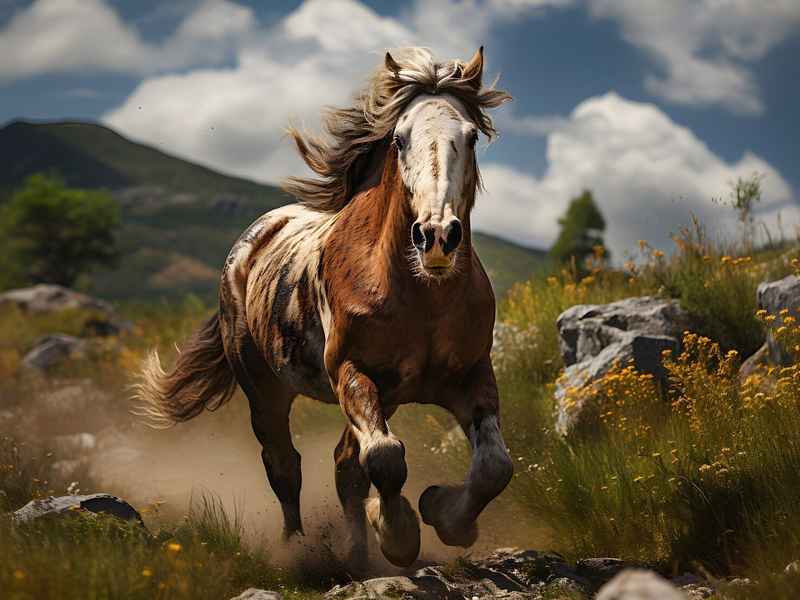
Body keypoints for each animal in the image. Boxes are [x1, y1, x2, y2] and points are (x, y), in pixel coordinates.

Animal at [135, 46, 514, 568]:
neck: (422, 296)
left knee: (343, 466)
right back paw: (298, 547)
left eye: (472, 136)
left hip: (382, 396)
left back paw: (355, 553)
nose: (437, 236)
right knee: (285, 465)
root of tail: (249, 245)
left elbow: (495, 466)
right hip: (265, 389)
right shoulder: (351, 371)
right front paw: (397, 533)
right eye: (399, 140)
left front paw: (443, 513)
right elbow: (385, 458)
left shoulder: (469, 375)